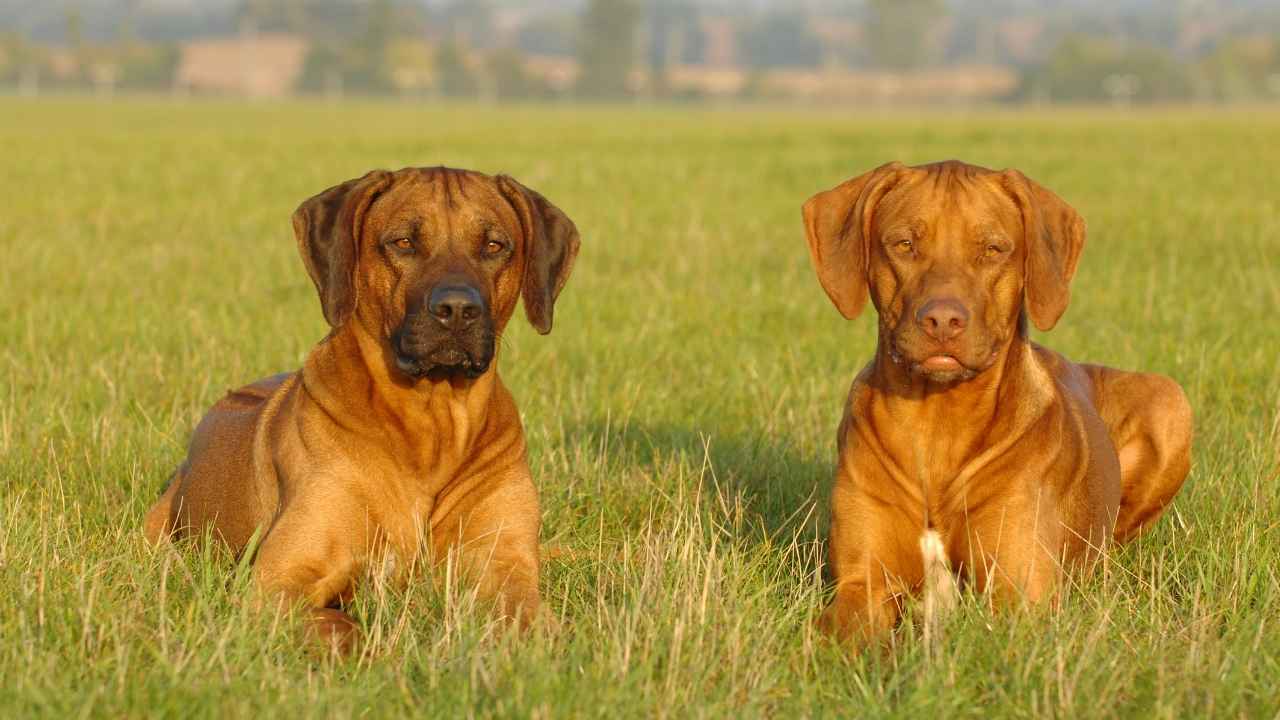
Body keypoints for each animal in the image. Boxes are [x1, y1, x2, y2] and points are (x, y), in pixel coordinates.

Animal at [142, 166, 578, 650]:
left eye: (494, 245)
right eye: (403, 242)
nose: (457, 309)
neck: (433, 423)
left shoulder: (505, 567)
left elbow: (537, 622)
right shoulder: (279, 581)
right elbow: (342, 627)